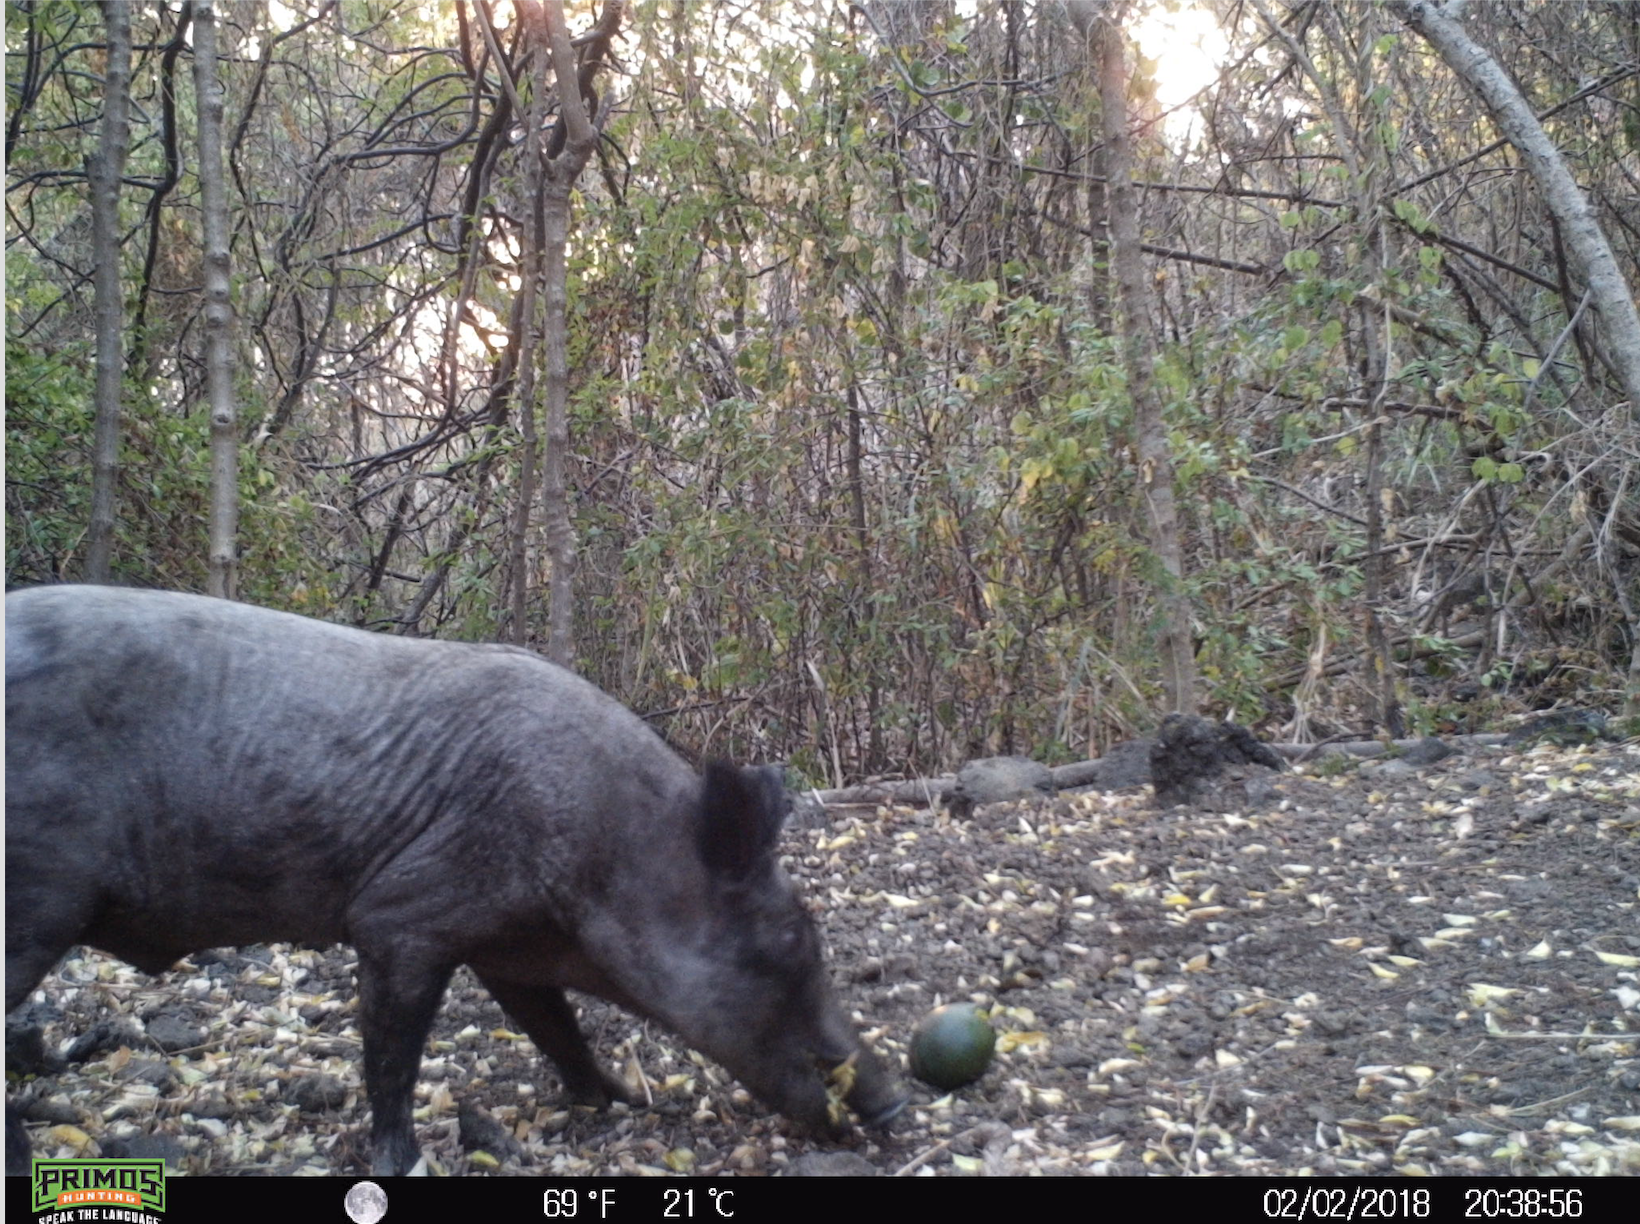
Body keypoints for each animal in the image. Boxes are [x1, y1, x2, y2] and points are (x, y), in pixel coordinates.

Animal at [5, 585, 905, 1175]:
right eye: (785, 942)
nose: (894, 1102)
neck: (597, 852)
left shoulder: (507, 949)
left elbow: (558, 1031)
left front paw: (619, 1099)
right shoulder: (400, 919)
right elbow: (393, 1058)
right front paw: (404, 1161)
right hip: (37, 893)